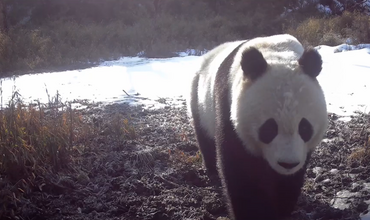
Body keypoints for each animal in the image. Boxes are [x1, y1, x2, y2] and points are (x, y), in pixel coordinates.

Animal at [189, 33, 328, 219]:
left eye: (305, 128)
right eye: (269, 128)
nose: (287, 164)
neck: (277, 54)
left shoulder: (302, 150)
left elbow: (290, 180)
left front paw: (280, 208)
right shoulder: (229, 109)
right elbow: (243, 173)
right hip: (199, 98)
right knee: (205, 138)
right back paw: (212, 170)